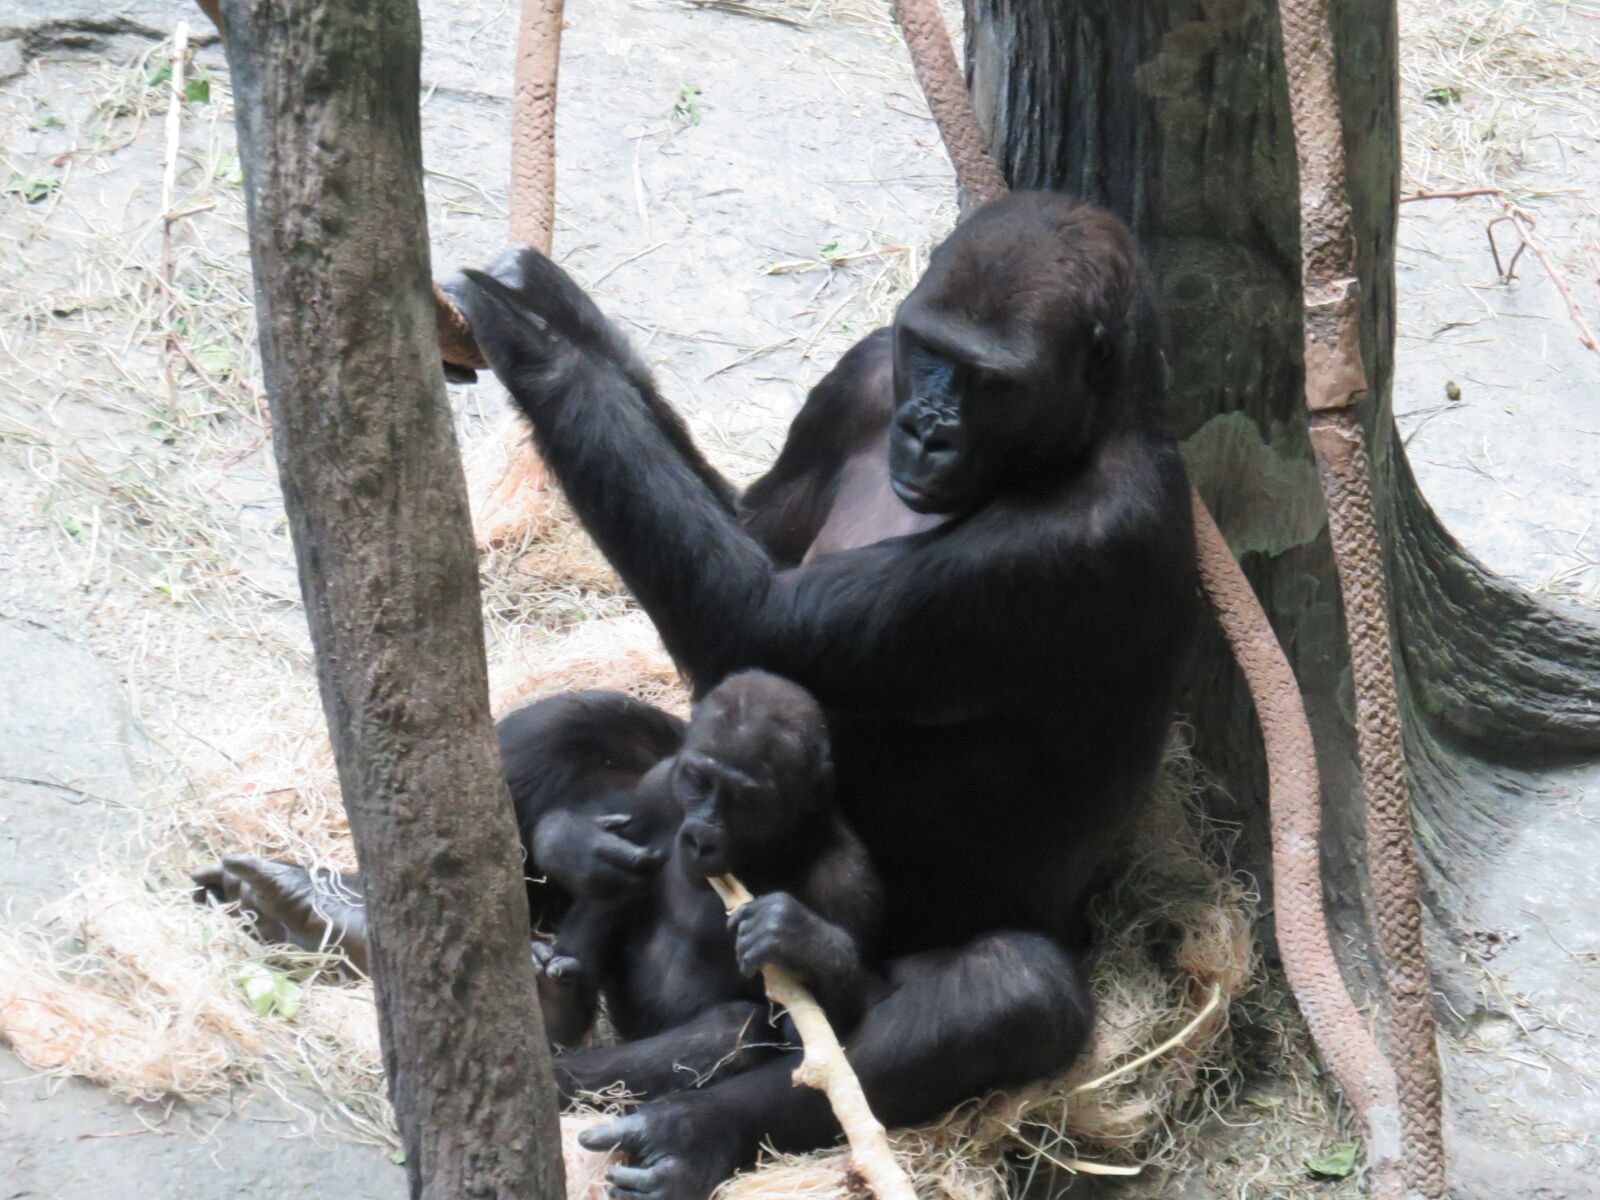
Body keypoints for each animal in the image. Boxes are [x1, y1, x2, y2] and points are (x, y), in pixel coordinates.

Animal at [521, 668, 876, 1100]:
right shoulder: (658, 787)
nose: (702, 836)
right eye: (699, 781)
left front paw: (797, 936)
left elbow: (828, 1030)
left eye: (746, 800)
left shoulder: (845, 879)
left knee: (735, 1027)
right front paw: (574, 844)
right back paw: (555, 1006)